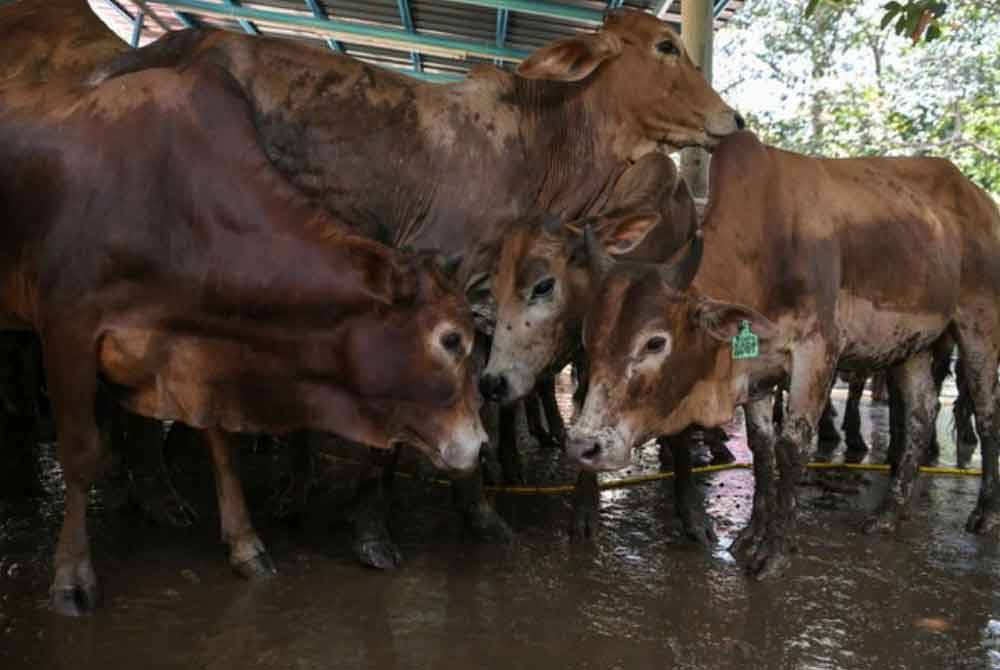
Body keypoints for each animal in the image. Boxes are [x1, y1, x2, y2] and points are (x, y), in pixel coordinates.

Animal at [0, 55, 484, 616]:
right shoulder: (67, 329)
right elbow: (80, 454)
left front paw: (246, 544)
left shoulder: (202, 358)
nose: (480, 443)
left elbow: (222, 445)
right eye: (451, 340)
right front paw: (72, 575)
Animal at [97, 9, 744, 568]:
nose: (734, 119)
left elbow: (478, 394)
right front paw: (373, 531)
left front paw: (477, 508)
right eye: (666, 46)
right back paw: (172, 500)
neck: (543, 148)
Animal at [568, 130, 1000, 576]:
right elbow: (762, 448)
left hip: (979, 325)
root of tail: (979, 200)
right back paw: (888, 513)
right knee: (919, 415)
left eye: (655, 342)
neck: (764, 249)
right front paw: (751, 534)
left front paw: (774, 549)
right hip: (912, 345)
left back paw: (984, 513)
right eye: (588, 339)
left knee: (987, 415)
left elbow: (792, 445)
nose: (583, 446)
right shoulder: (756, 369)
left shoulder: (818, 350)